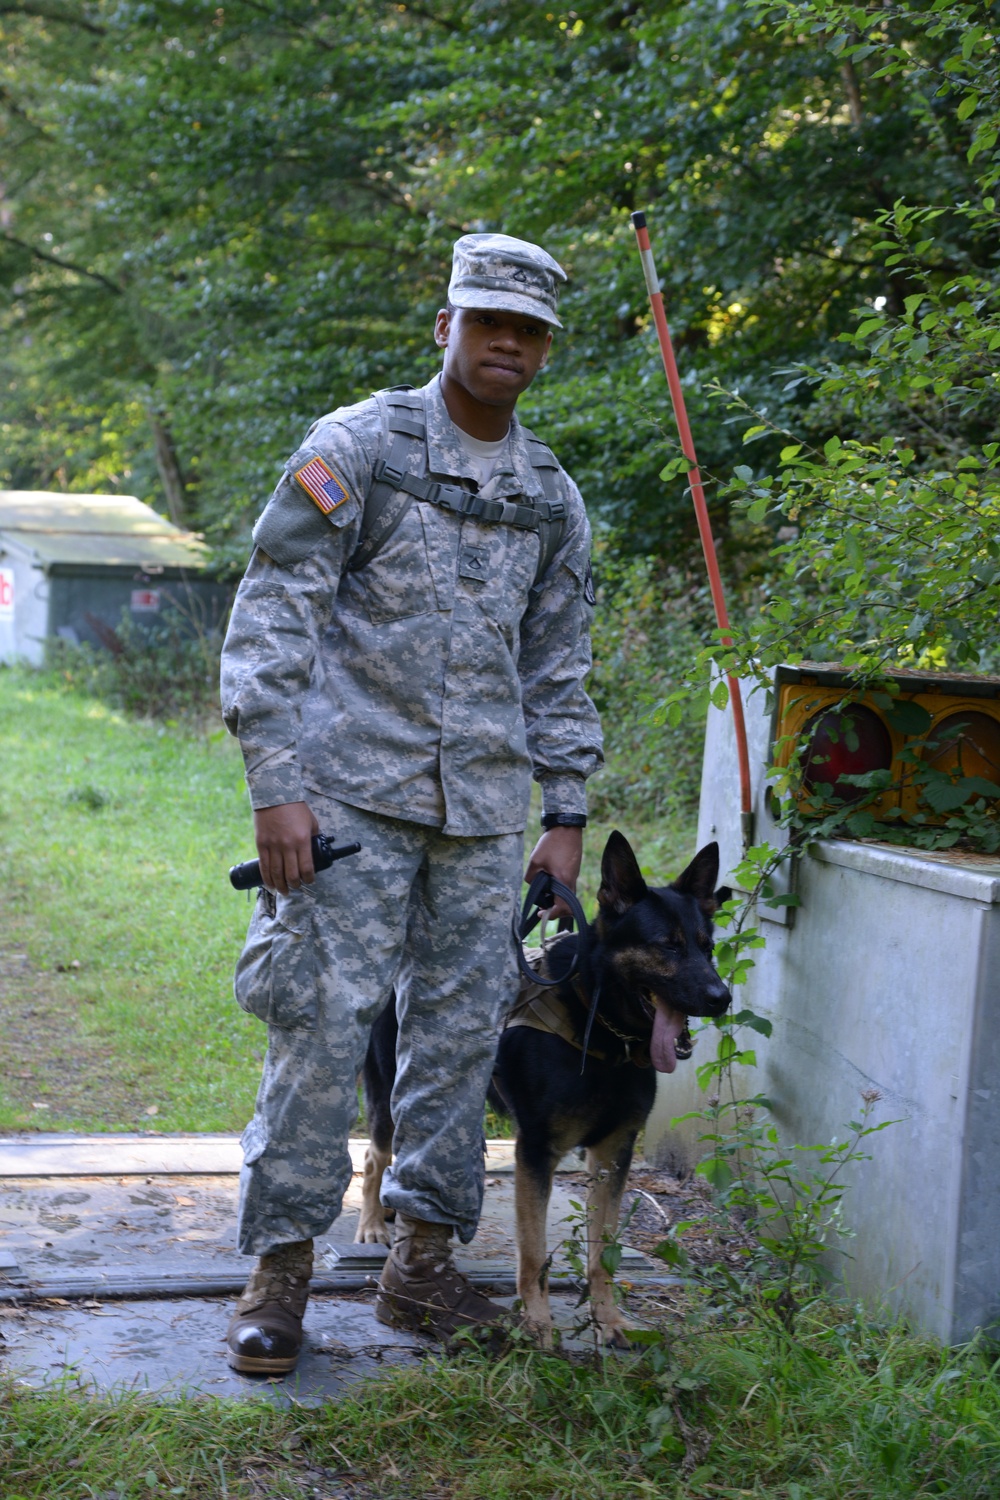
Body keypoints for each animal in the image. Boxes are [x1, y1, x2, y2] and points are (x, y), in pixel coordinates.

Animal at [355, 834, 731, 1350]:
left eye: (706, 947)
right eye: (667, 946)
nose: (722, 998)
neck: (601, 1027)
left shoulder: (614, 1153)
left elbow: (602, 1252)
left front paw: (609, 1320)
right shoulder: (536, 1152)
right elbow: (533, 1252)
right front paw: (537, 1324)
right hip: (389, 1097)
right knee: (375, 1156)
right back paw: (373, 1222)